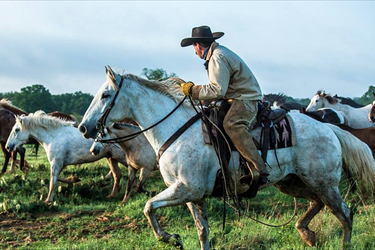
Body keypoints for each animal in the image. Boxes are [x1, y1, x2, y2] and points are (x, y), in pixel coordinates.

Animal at [78, 67, 375, 250]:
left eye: (105, 94)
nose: (83, 127)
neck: (174, 127)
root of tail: (329, 128)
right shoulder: (192, 194)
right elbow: (202, 231)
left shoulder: (186, 189)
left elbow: (149, 207)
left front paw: (170, 238)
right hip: (293, 182)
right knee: (317, 204)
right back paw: (306, 233)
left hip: (324, 183)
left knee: (344, 213)